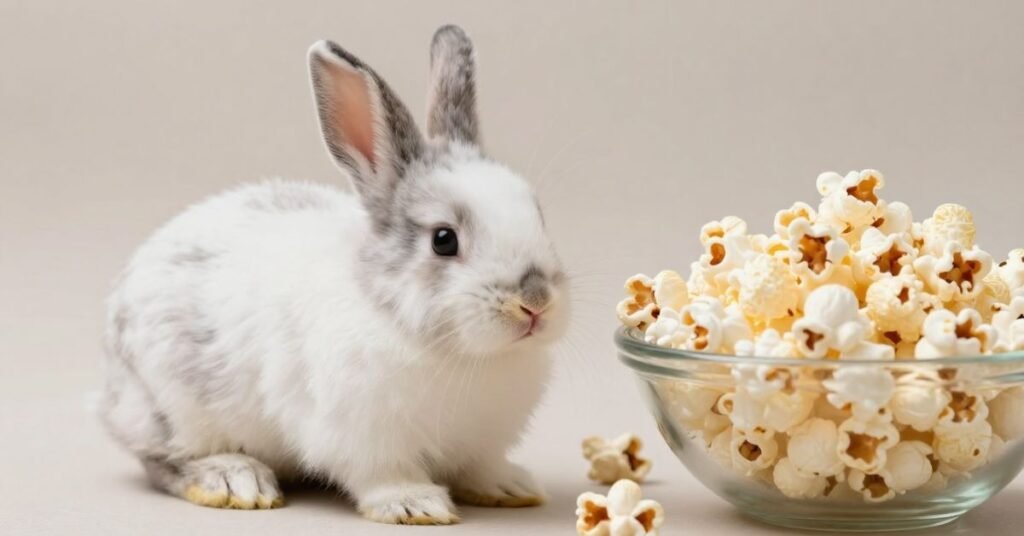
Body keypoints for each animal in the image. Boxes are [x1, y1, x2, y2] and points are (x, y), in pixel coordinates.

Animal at [97, 25, 569, 525]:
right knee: (163, 461)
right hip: (172, 408)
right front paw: (414, 504)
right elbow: (382, 474)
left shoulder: (480, 443)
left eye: (537, 213)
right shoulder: (361, 436)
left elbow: (479, 467)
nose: (535, 302)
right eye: (444, 240)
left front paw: (510, 486)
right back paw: (235, 480)